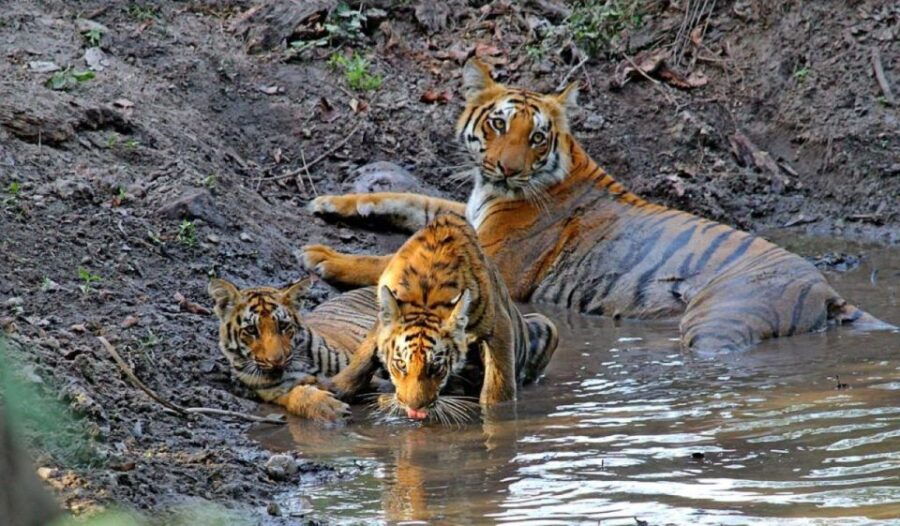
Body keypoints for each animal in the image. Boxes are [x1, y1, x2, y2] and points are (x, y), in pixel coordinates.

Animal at [207, 277, 381, 421]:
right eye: (251, 330)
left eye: (283, 326)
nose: (276, 361)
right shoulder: (276, 391)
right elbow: (298, 395)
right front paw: (329, 407)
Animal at [302, 59, 895, 352]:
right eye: (497, 124)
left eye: (536, 137)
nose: (507, 168)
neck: (493, 190)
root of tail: (826, 288)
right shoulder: (464, 212)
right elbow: (411, 198)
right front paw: (333, 200)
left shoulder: (494, 262)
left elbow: (388, 260)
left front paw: (322, 257)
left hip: (720, 321)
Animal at [328, 212, 559, 423]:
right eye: (401, 365)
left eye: (435, 367)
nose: (415, 409)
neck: (426, 292)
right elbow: (364, 356)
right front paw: (335, 387)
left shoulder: (498, 326)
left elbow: (498, 382)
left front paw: (496, 415)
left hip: (547, 324)